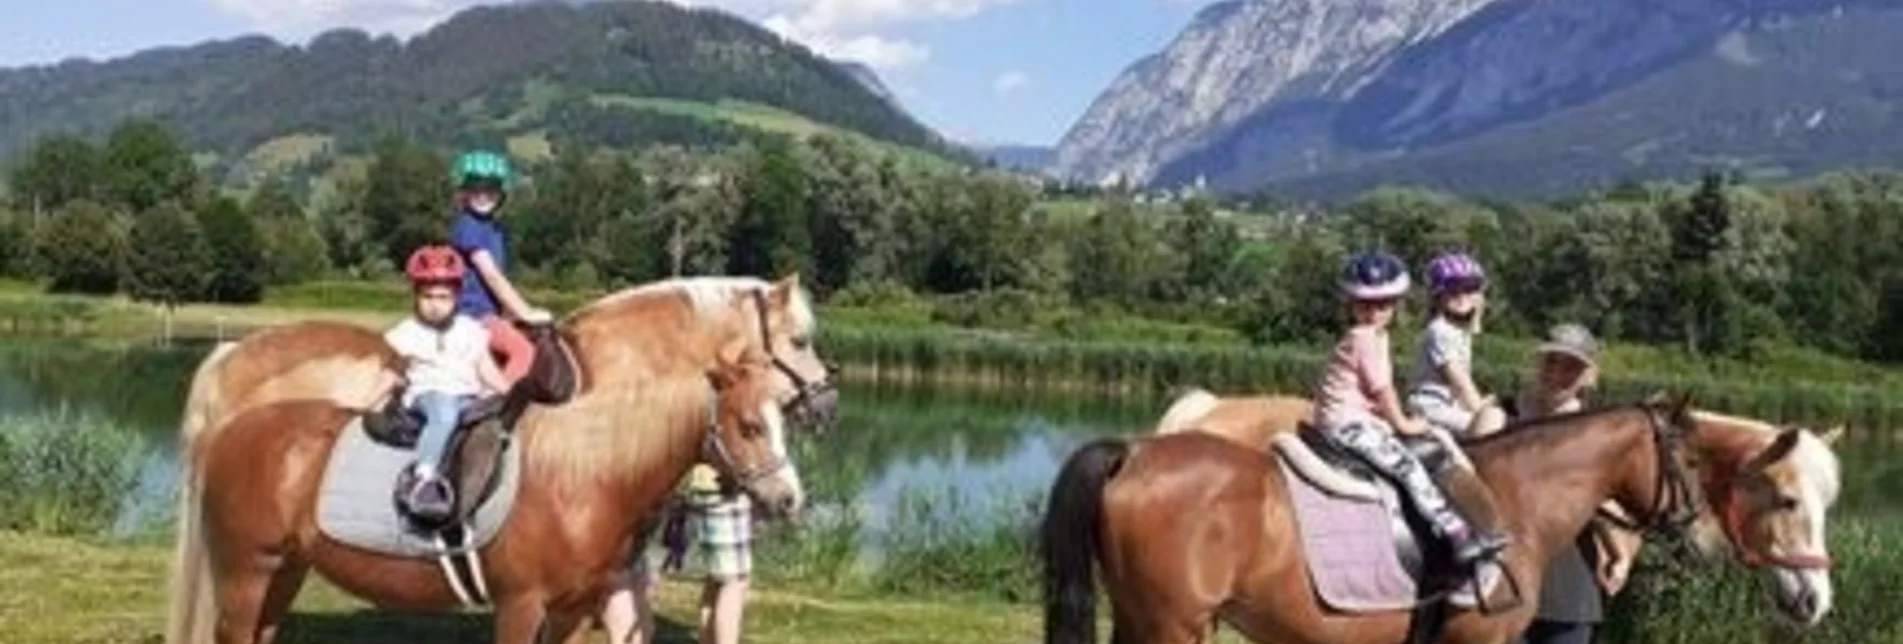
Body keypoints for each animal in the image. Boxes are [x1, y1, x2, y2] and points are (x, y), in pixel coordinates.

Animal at [1042, 392, 1743, 644]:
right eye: (1689, 457)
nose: (1714, 545)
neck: (1515, 496)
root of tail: (1133, 452)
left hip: (1141, 617)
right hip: (1174, 626)